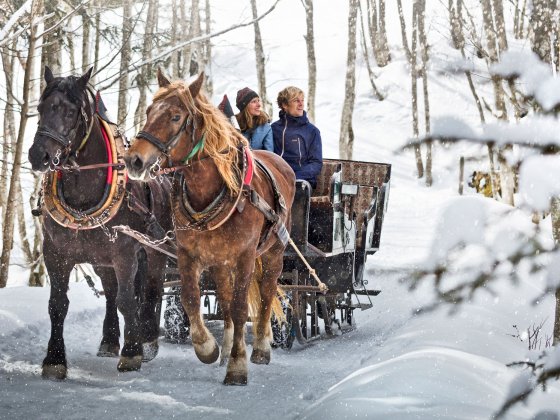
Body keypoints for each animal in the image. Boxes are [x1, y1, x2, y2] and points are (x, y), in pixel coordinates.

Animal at [27, 66, 173, 380]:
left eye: (71, 112)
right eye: (40, 108)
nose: (38, 155)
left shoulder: (125, 253)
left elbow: (128, 301)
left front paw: (132, 353)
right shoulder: (55, 253)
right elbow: (58, 305)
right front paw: (54, 359)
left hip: (154, 251)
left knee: (151, 289)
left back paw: (148, 340)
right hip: (100, 259)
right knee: (110, 293)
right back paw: (109, 340)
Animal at [124, 70, 296, 386]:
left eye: (176, 116)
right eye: (149, 111)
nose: (134, 160)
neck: (212, 190)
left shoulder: (245, 257)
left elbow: (241, 309)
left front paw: (238, 365)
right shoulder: (188, 254)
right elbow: (191, 299)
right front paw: (208, 348)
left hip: (273, 251)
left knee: (267, 293)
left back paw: (261, 347)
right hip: (220, 261)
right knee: (225, 301)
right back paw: (227, 348)